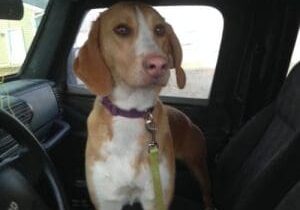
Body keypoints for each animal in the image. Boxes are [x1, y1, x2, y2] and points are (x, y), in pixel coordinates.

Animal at [75, 2, 214, 210]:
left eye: (160, 29)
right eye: (121, 29)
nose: (159, 64)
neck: (131, 112)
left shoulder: (156, 199)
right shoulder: (108, 201)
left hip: (198, 164)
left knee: (206, 192)